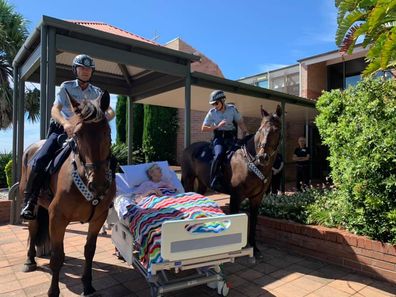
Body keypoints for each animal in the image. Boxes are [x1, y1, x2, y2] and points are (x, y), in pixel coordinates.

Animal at [19, 91, 116, 294]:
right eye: (77, 135)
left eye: (108, 132)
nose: (98, 184)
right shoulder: (57, 216)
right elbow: (56, 257)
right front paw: (53, 291)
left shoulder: (99, 217)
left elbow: (89, 250)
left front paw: (87, 285)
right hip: (34, 204)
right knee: (33, 228)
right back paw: (29, 260)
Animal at [183, 104, 282, 254]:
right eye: (260, 130)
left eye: (276, 130)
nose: (263, 157)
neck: (251, 163)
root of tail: (188, 148)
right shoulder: (235, 196)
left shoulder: (257, 198)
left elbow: (253, 222)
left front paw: (254, 248)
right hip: (188, 180)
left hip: (201, 183)